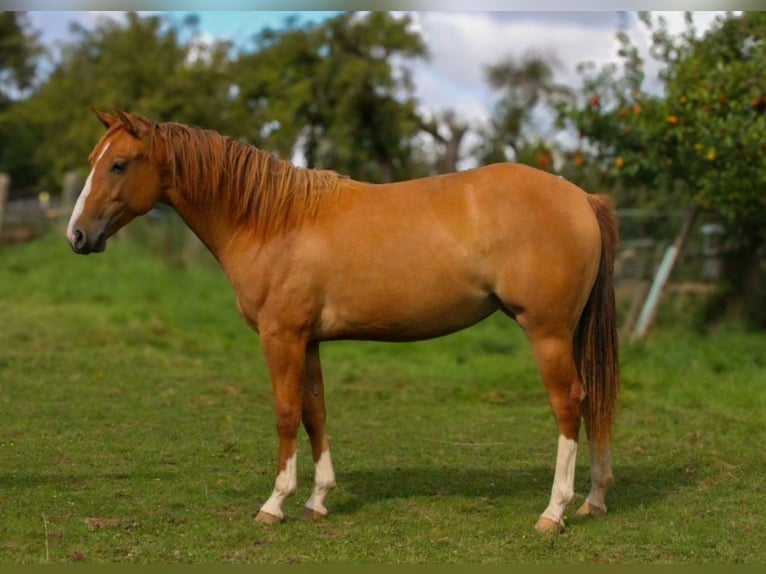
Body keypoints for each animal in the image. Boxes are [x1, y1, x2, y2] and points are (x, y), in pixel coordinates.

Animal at [64, 109, 616, 536]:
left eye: (118, 164)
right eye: (94, 160)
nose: (77, 236)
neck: (272, 220)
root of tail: (582, 199)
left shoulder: (281, 337)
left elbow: (286, 414)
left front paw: (275, 503)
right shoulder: (307, 341)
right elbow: (316, 412)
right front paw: (318, 499)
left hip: (547, 333)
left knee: (569, 405)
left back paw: (555, 512)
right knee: (592, 401)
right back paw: (594, 500)